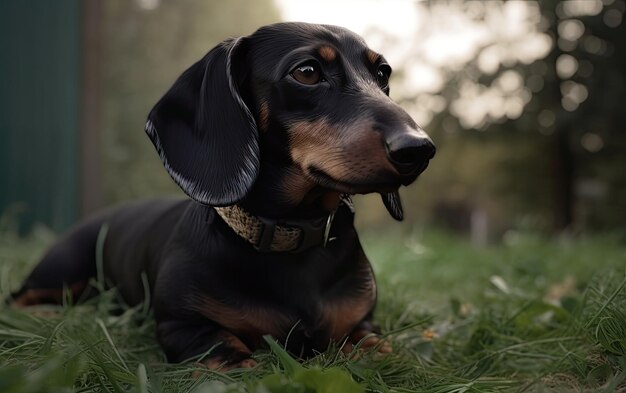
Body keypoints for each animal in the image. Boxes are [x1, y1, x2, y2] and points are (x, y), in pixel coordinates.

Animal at [13, 23, 434, 370]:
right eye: (307, 72)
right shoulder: (184, 327)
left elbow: (381, 349)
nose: (419, 149)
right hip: (60, 269)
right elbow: (230, 354)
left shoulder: (363, 324)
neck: (292, 236)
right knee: (18, 298)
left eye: (382, 74)